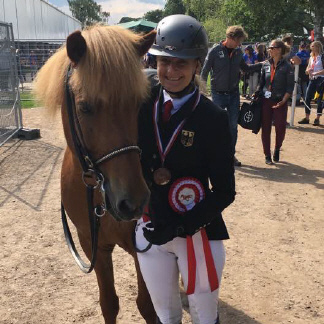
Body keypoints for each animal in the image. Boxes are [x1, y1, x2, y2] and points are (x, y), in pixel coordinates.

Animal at [33, 24, 157, 322]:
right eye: (84, 106)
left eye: (138, 103)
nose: (133, 201)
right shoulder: (95, 246)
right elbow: (109, 303)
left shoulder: (141, 249)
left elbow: (147, 304)